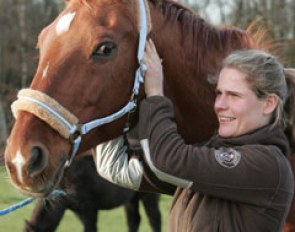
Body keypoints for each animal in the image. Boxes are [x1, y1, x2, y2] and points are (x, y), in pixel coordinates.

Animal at [23, 154, 162, 232]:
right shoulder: (77, 210)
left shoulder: (89, 207)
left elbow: (90, 228)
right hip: (131, 200)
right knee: (134, 221)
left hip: (148, 197)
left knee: (154, 219)